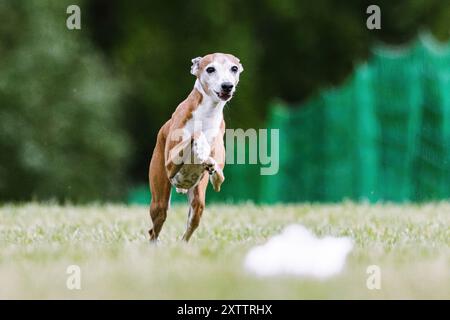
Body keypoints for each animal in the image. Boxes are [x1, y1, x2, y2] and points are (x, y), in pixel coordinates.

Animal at [149, 53, 243, 242]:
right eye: (210, 69)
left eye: (234, 68)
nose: (227, 85)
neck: (207, 114)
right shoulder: (170, 164)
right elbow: (196, 135)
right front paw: (201, 148)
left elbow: (219, 173)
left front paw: (214, 173)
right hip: (159, 200)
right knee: (153, 231)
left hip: (197, 203)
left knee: (188, 229)